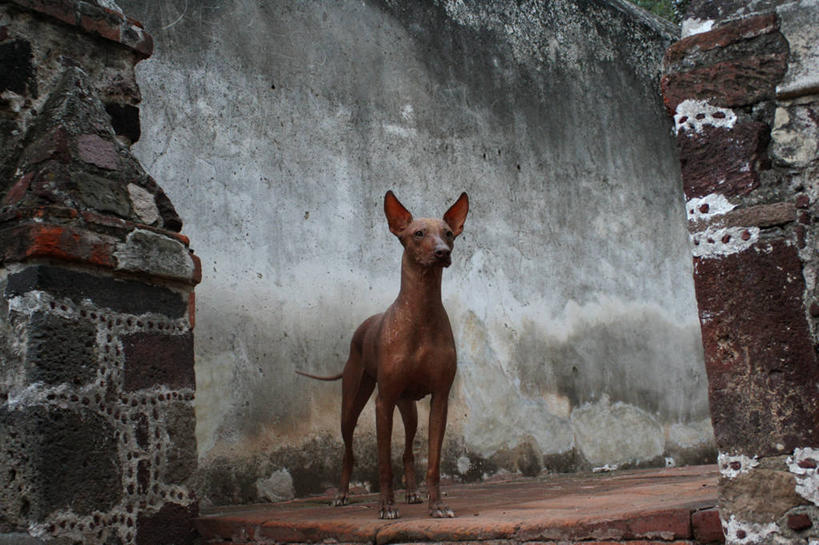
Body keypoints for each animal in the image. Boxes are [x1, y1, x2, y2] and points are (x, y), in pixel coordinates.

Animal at [300, 190, 468, 520]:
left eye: (448, 233)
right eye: (418, 234)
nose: (442, 252)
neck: (421, 314)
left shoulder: (440, 399)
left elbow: (433, 462)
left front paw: (437, 505)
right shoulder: (383, 401)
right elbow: (382, 463)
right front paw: (387, 506)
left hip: (410, 409)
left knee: (407, 451)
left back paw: (413, 493)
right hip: (352, 404)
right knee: (348, 452)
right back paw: (341, 495)